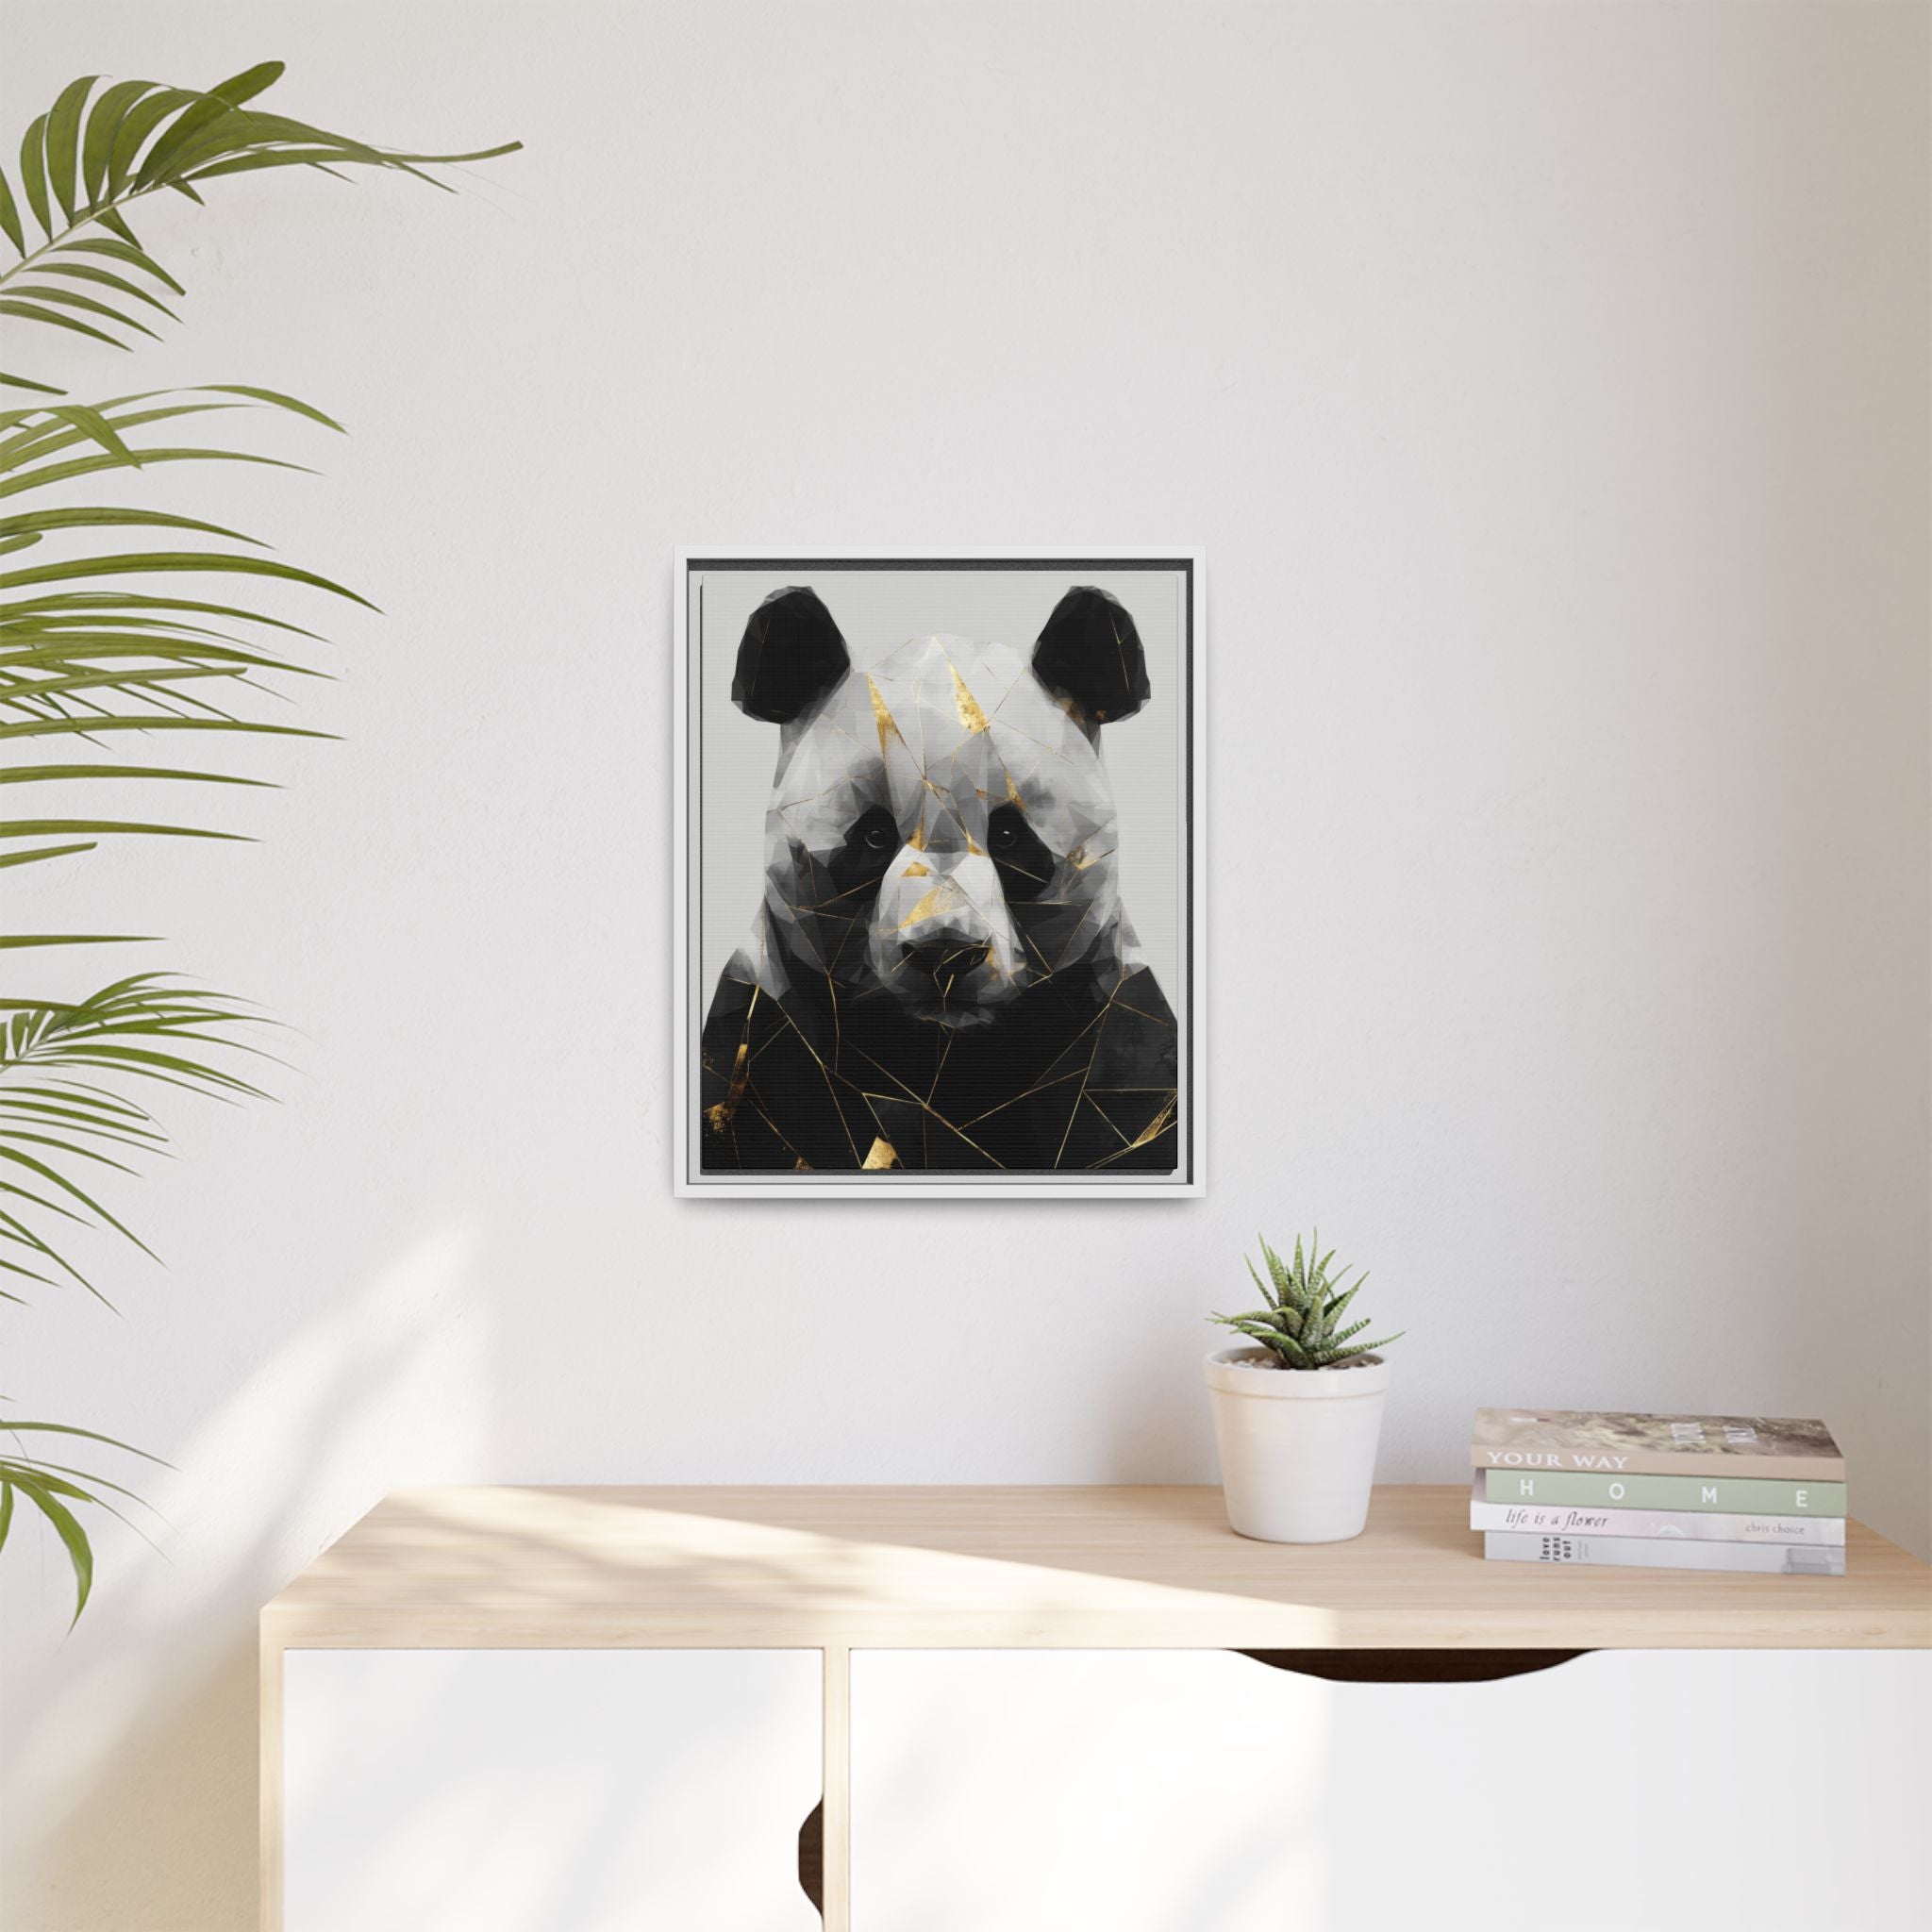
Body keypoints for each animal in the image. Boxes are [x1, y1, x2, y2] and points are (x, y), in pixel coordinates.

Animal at [699, 583, 1178, 1174]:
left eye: (1009, 836)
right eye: (874, 835)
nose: (945, 952)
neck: (941, 1061)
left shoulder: (1117, 1042)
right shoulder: (762, 1040)